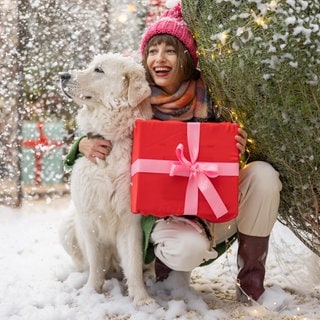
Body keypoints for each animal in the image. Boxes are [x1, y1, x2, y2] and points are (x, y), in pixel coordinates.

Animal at [60, 53, 155, 306]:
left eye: (99, 70)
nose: (63, 75)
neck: (111, 141)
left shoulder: (131, 222)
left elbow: (133, 264)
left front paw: (141, 298)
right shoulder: (88, 218)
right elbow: (95, 263)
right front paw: (91, 292)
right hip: (67, 225)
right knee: (86, 264)